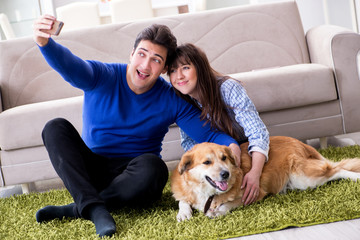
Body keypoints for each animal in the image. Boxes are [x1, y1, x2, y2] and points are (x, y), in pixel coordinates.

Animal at [170, 136, 360, 222]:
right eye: (207, 162)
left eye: (224, 158)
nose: (225, 174)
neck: (207, 192)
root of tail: (299, 142)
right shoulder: (185, 191)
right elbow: (183, 200)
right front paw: (184, 213)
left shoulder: (254, 193)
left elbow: (229, 204)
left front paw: (218, 210)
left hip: (304, 178)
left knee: (337, 169)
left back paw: (355, 176)